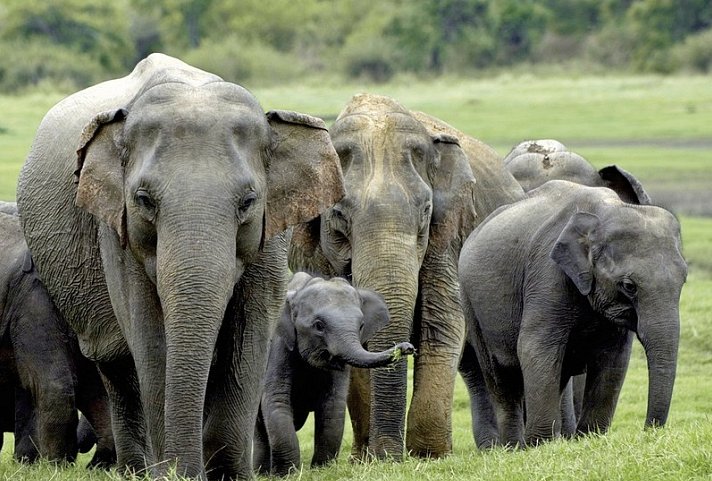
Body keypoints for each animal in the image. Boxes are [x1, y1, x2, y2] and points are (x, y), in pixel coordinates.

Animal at [13, 54, 342, 478]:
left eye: (248, 201)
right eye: (144, 200)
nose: (182, 471)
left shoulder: (272, 231)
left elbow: (249, 331)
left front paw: (229, 475)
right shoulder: (118, 231)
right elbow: (150, 335)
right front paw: (174, 473)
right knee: (116, 363)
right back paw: (137, 469)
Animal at [254, 272, 414, 474]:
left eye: (361, 325)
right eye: (318, 325)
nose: (408, 347)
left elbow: (333, 405)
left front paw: (322, 470)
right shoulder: (279, 345)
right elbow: (277, 399)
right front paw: (287, 474)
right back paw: (261, 472)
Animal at [286, 93, 524, 458]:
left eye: (425, 211)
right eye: (339, 215)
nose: (404, 348)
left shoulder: (448, 236)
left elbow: (441, 321)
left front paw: (427, 455)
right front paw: (367, 458)